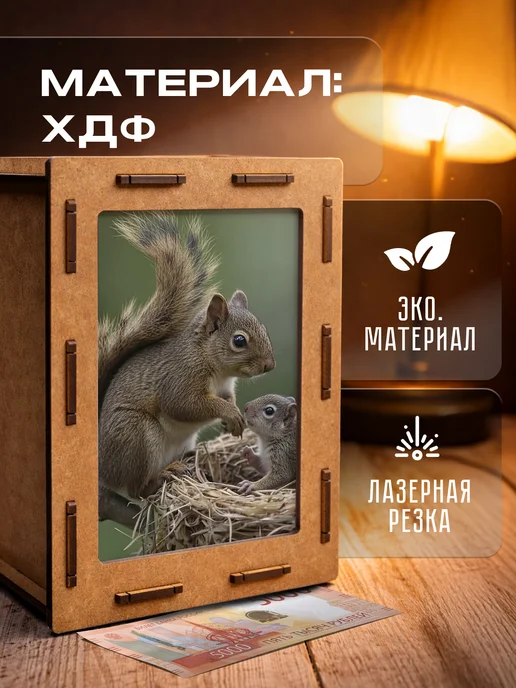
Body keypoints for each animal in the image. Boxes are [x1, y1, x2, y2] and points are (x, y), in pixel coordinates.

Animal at [98, 211, 276, 527]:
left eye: (263, 328)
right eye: (239, 340)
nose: (269, 365)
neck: (213, 364)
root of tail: (101, 467)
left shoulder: (225, 387)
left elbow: (226, 399)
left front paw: (233, 416)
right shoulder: (180, 377)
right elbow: (183, 404)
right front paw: (229, 414)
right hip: (136, 435)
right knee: (136, 488)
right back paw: (161, 477)